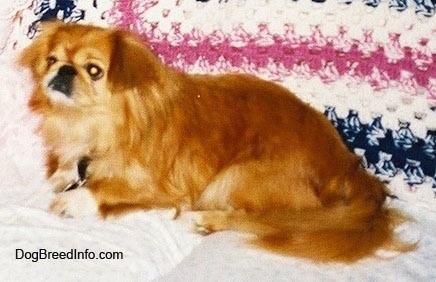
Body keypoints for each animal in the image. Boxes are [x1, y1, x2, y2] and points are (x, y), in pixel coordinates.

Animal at [19, 22, 416, 262]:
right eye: (52, 60)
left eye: (94, 70)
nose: (62, 70)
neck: (97, 123)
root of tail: (347, 167)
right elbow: (70, 169)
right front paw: (61, 176)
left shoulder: (165, 187)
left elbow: (108, 187)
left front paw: (75, 200)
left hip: (235, 177)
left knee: (263, 220)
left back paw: (205, 221)